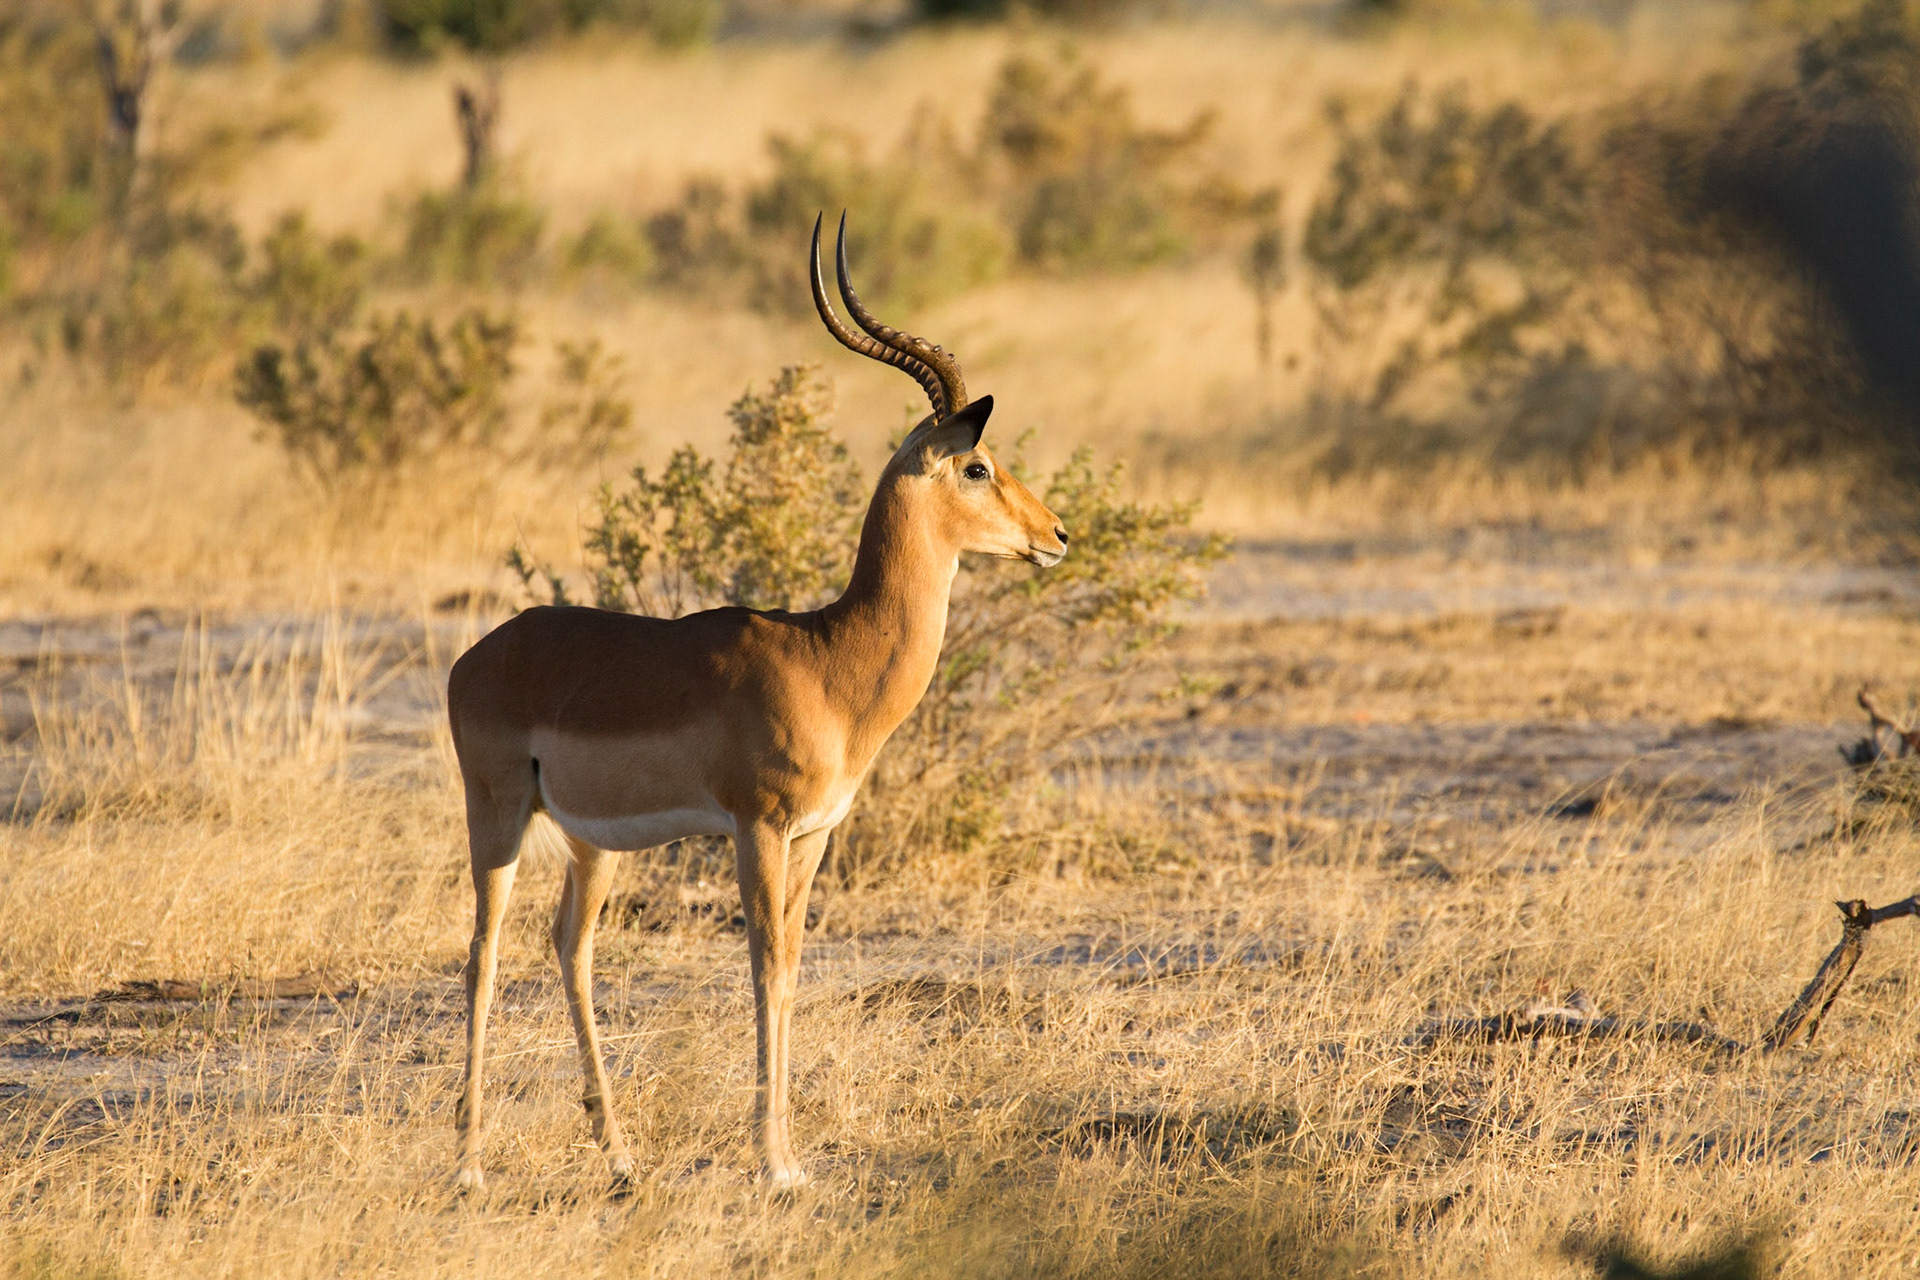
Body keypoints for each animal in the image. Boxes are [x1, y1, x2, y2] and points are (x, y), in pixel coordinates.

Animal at [445, 214, 1070, 1190]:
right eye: (977, 465)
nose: (1057, 535)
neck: (830, 658)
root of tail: (479, 654)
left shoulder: (814, 836)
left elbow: (794, 971)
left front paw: (790, 1154)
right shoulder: (759, 827)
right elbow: (764, 969)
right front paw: (774, 1162)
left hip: (592, 842)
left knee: (569, 948)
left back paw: (620, 1155)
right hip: (499, 813)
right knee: (483, 952)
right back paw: (470, 1163)